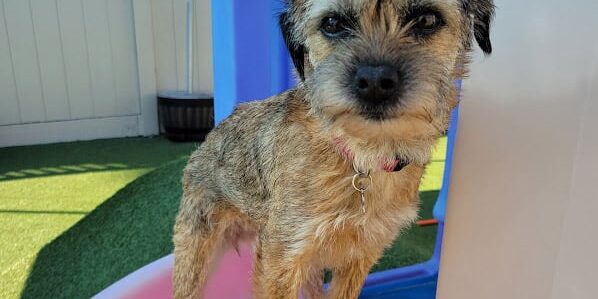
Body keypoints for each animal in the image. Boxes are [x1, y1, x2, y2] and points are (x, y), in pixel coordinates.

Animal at [175, 1, 496, 298]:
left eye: (427, 19)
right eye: (332, 23)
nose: (375, 81)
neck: (363, 157)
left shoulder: (360, 256)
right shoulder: (282, 257)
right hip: (195, 254)